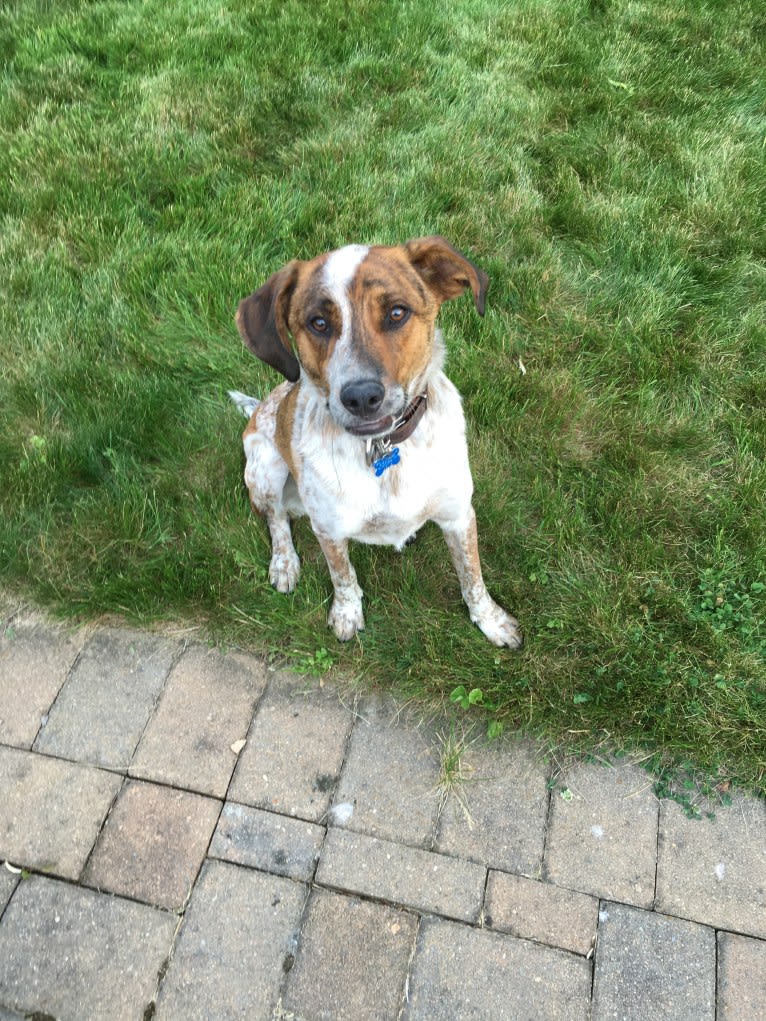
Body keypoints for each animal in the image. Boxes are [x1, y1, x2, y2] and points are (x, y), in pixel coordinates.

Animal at [230, 234, 527, 645]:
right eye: (318, 323)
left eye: (397, 312)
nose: (360, 397)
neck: (385, 447)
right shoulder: (329, 529)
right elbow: (342, 576)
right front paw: (346, 615)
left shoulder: (458, 514)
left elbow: (473, 576)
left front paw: (491, 621)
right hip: (265, 467)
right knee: (276, 519)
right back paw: (284, 563)